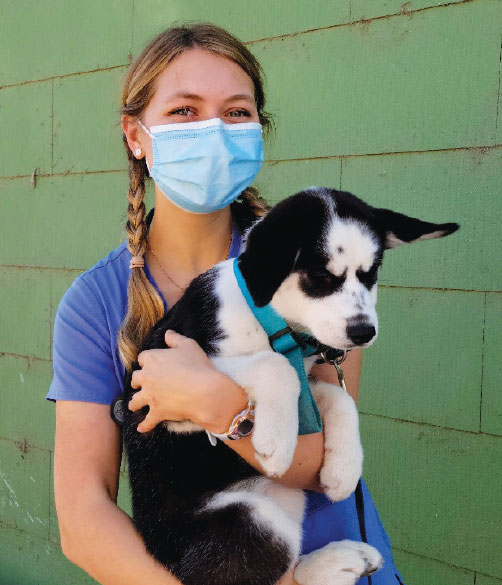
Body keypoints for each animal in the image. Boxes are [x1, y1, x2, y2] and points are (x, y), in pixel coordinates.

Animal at [121, 187, 458, 584]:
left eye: (371, 273)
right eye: (320, 276)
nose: (363, 333)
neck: (271, 320)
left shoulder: (306, 383)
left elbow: (339, 398)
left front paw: (344, 470)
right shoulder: (164, 385)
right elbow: (276, 365)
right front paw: (275, 444)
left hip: (285, 498)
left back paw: (349, 558)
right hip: (248, 523)